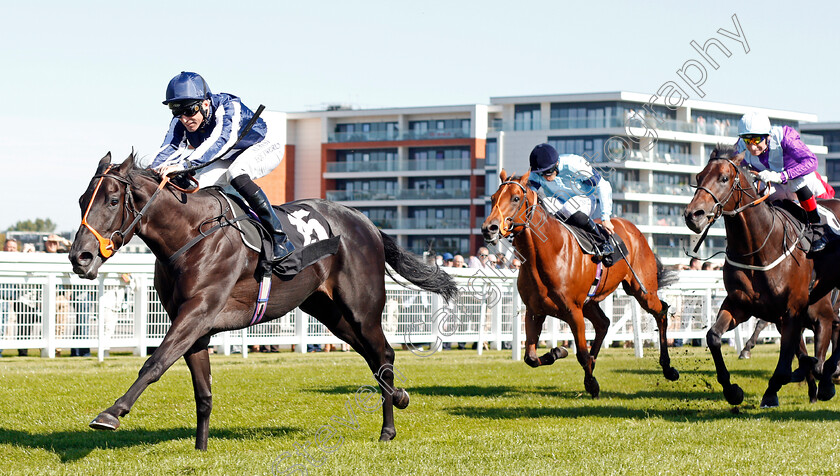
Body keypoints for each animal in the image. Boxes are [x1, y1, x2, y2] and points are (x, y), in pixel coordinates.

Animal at [68, 152, 456, 450]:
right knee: (374, 356)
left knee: (384, 354)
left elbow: (155, 362)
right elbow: (203, 393)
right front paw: (200, 448)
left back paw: (389, 426)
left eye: (113, 200)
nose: (79, 257)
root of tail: (367, 223)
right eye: (82, 200)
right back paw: (399, 398)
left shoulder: (197, 312)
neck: (191, 233)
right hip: (329, 312)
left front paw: (111, 412)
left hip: (361, 308)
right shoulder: (195, 326)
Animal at [482, 168, 680, 398]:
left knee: (661, 311)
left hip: (642, 291)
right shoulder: (534, 311)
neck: (547, 254)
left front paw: (592, 384)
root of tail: (635, 230)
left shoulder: (573, 311)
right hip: (591, 302)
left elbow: (581, 354)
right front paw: (558, 351)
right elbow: (530, 357)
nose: (489, 228)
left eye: (515, 198)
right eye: (493, 198)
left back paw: (668, 368)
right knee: (604, 323)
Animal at [684, 144, 840, 406]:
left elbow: (790, 364)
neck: (758, 249)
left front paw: (774, 390)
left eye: (724, 178)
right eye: (698, 177)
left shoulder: (797, 311)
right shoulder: (740, 304)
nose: (693, 215)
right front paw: (732, 390)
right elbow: (713, 336)